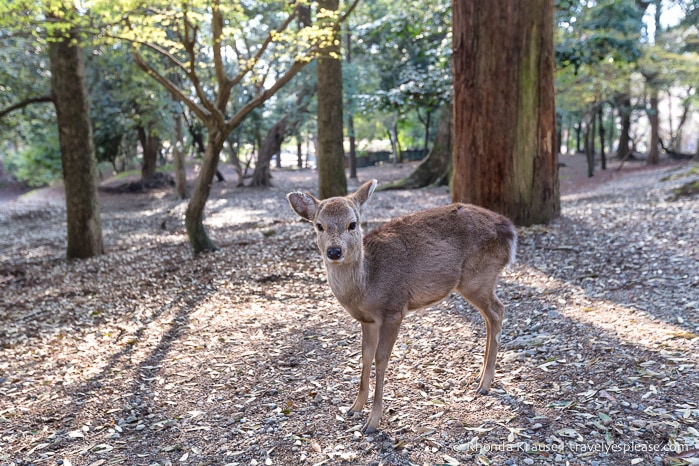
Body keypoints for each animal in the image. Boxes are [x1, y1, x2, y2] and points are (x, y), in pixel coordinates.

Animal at [288, 179, 516, 434]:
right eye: (319, 225)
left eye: (352, 224)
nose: (334, 251)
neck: (367, 284)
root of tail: (510, 231)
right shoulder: (367, 320)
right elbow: (365, 355)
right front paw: (355, 407)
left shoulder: (394, 309)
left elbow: (381, 358)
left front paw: (372, 421)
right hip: (478, 282)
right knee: (490, 316)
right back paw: (480, 377)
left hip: (477, 277)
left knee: (497, 311)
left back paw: (485, 384)